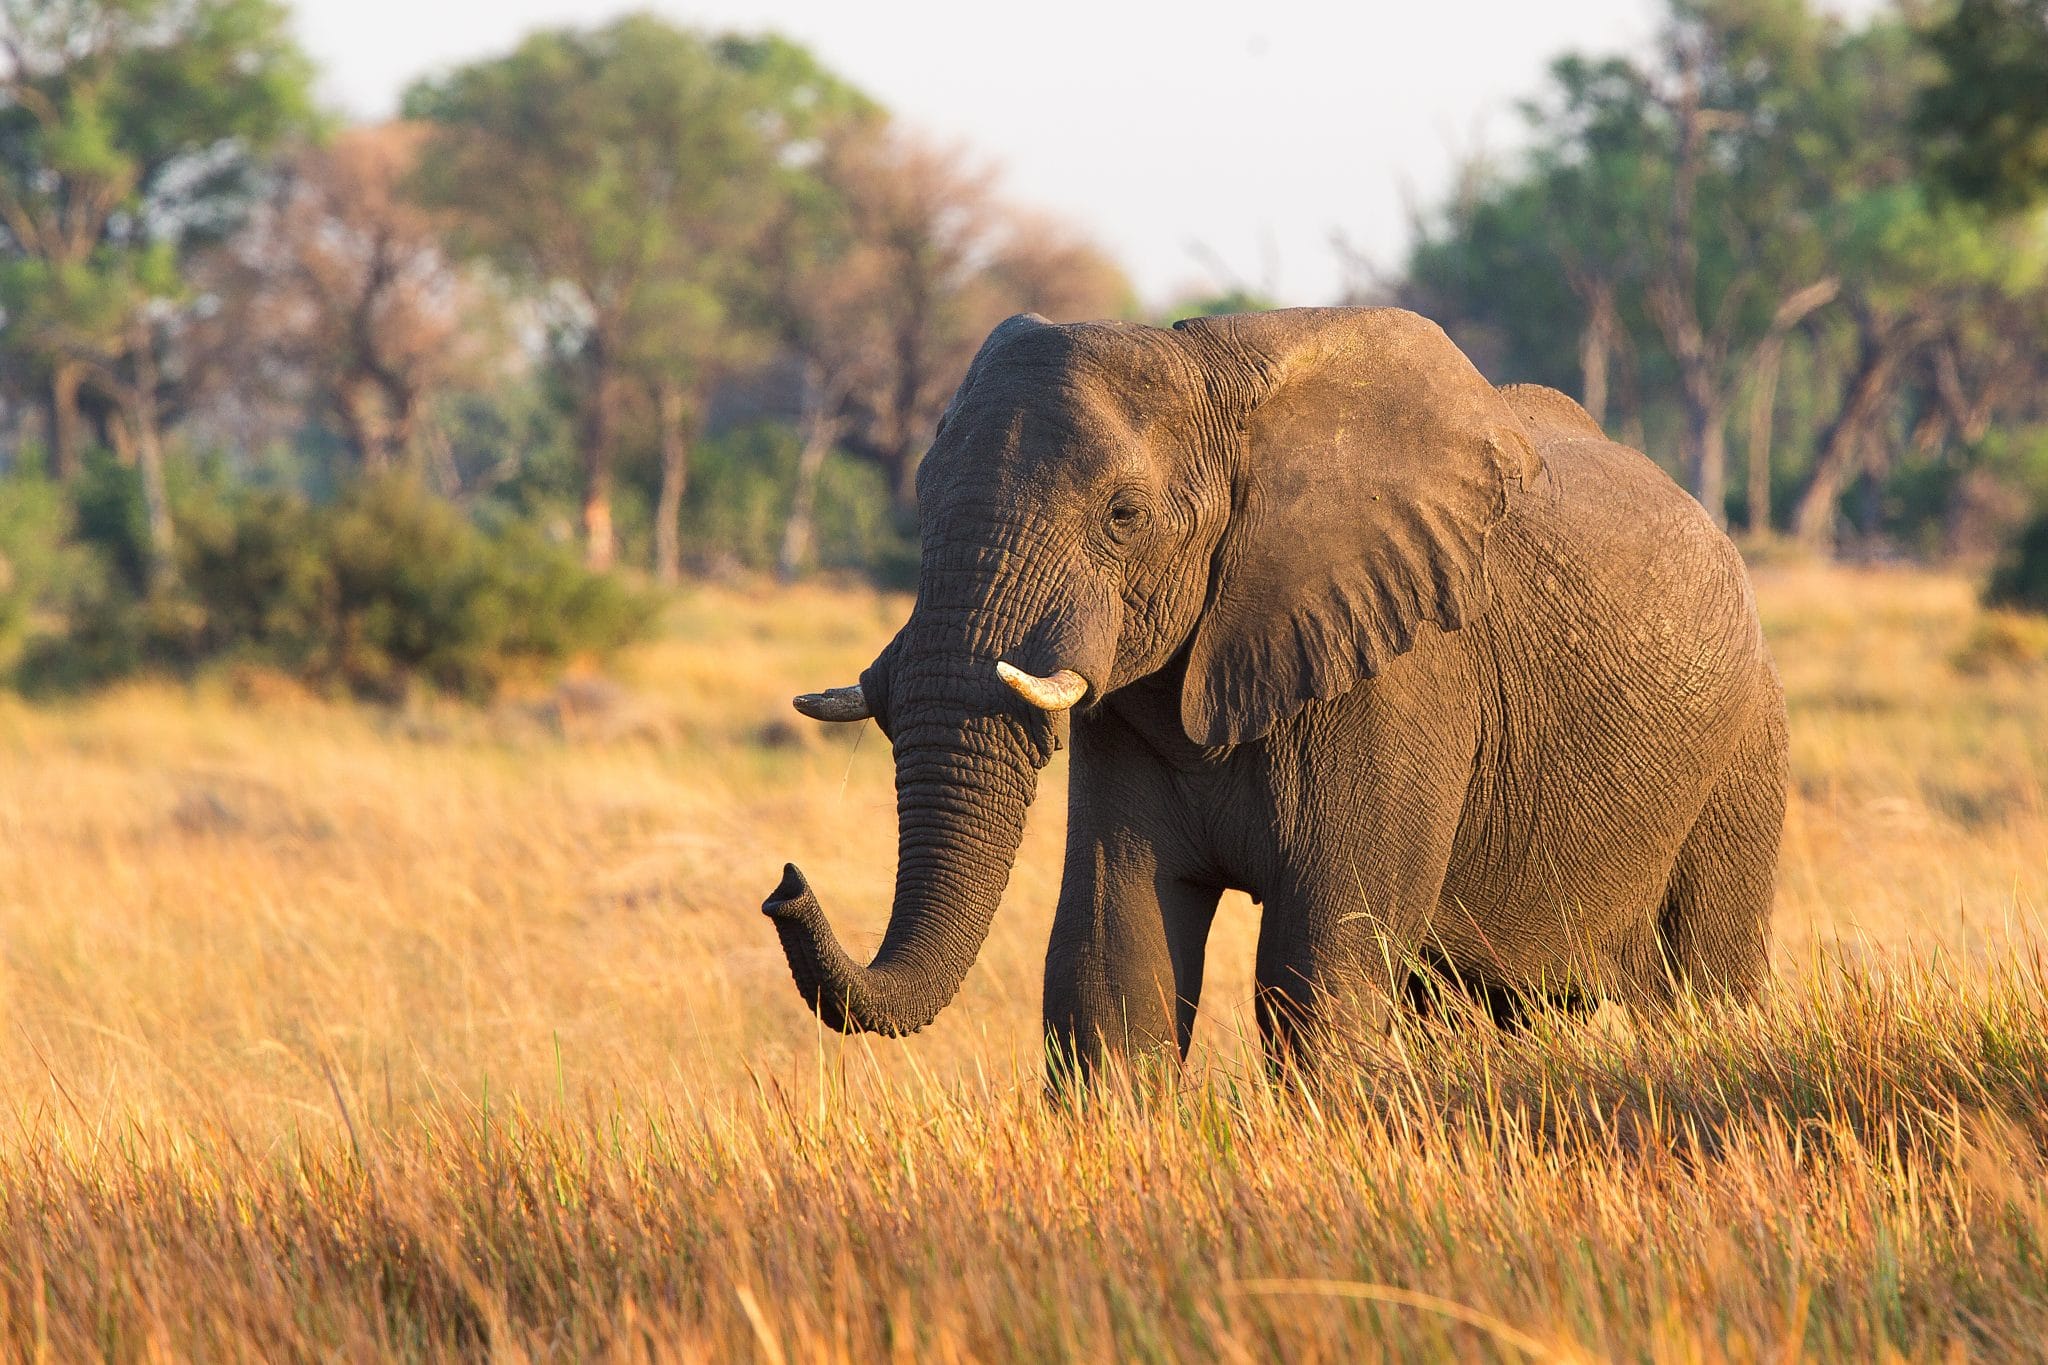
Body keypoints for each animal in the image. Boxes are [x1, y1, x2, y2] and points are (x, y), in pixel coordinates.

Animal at [761, 306, 1785, 1080]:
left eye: (1123, 516)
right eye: (922, 497)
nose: (784, 883)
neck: (1211, 368)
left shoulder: (1403, 677)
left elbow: (1319, 967)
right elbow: (1113, 960)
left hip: (1744, 755)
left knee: (1703, 985)